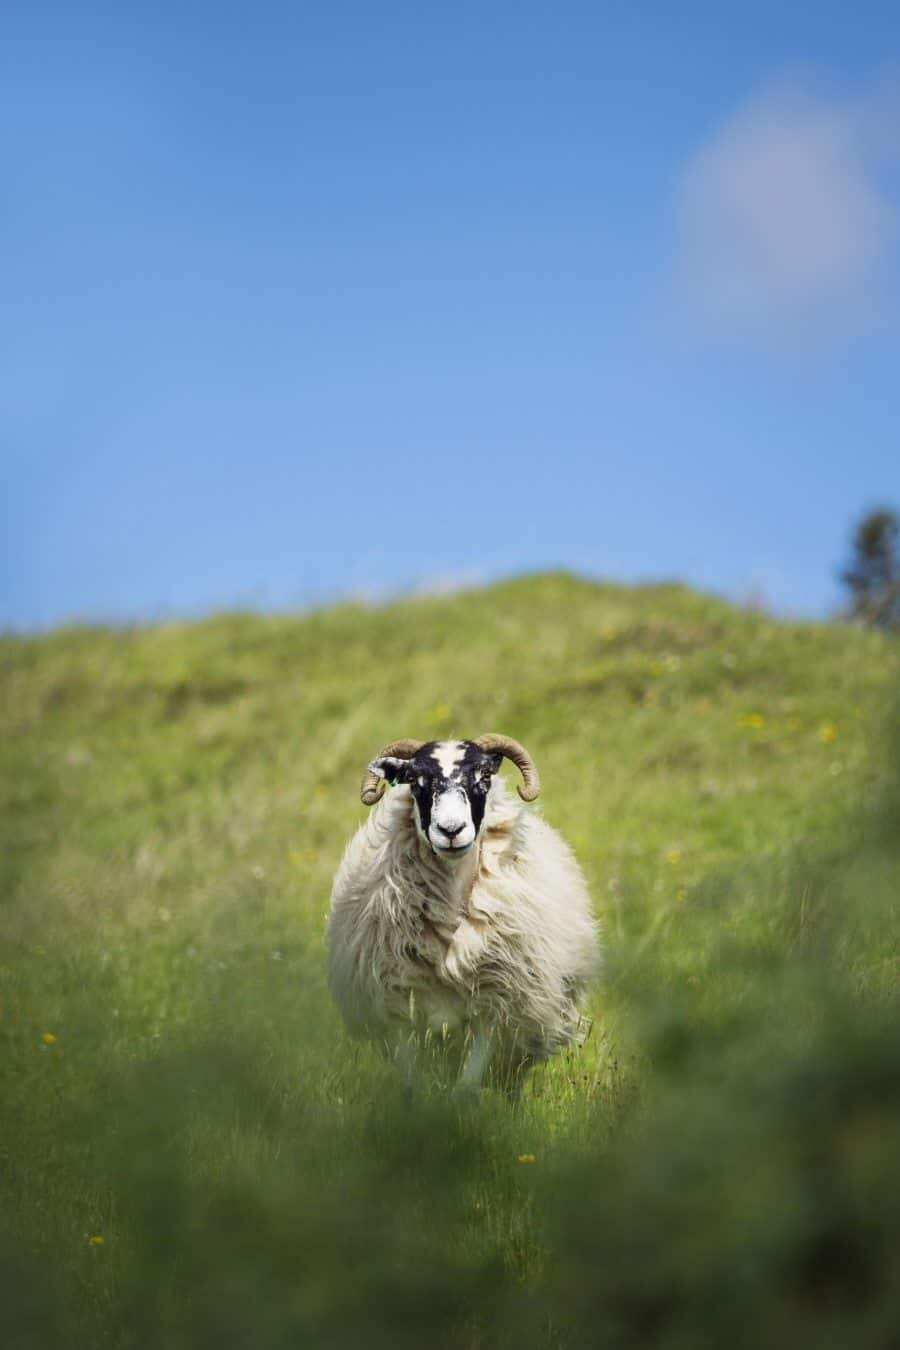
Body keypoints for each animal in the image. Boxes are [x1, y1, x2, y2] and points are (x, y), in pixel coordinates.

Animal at [327, 734, 601, 1090]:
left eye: (484, 777)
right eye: (415, 781)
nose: (451, 830)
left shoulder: (494, 1011)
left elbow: (467, 1088)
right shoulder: (398, 1009)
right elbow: (411, 1085)